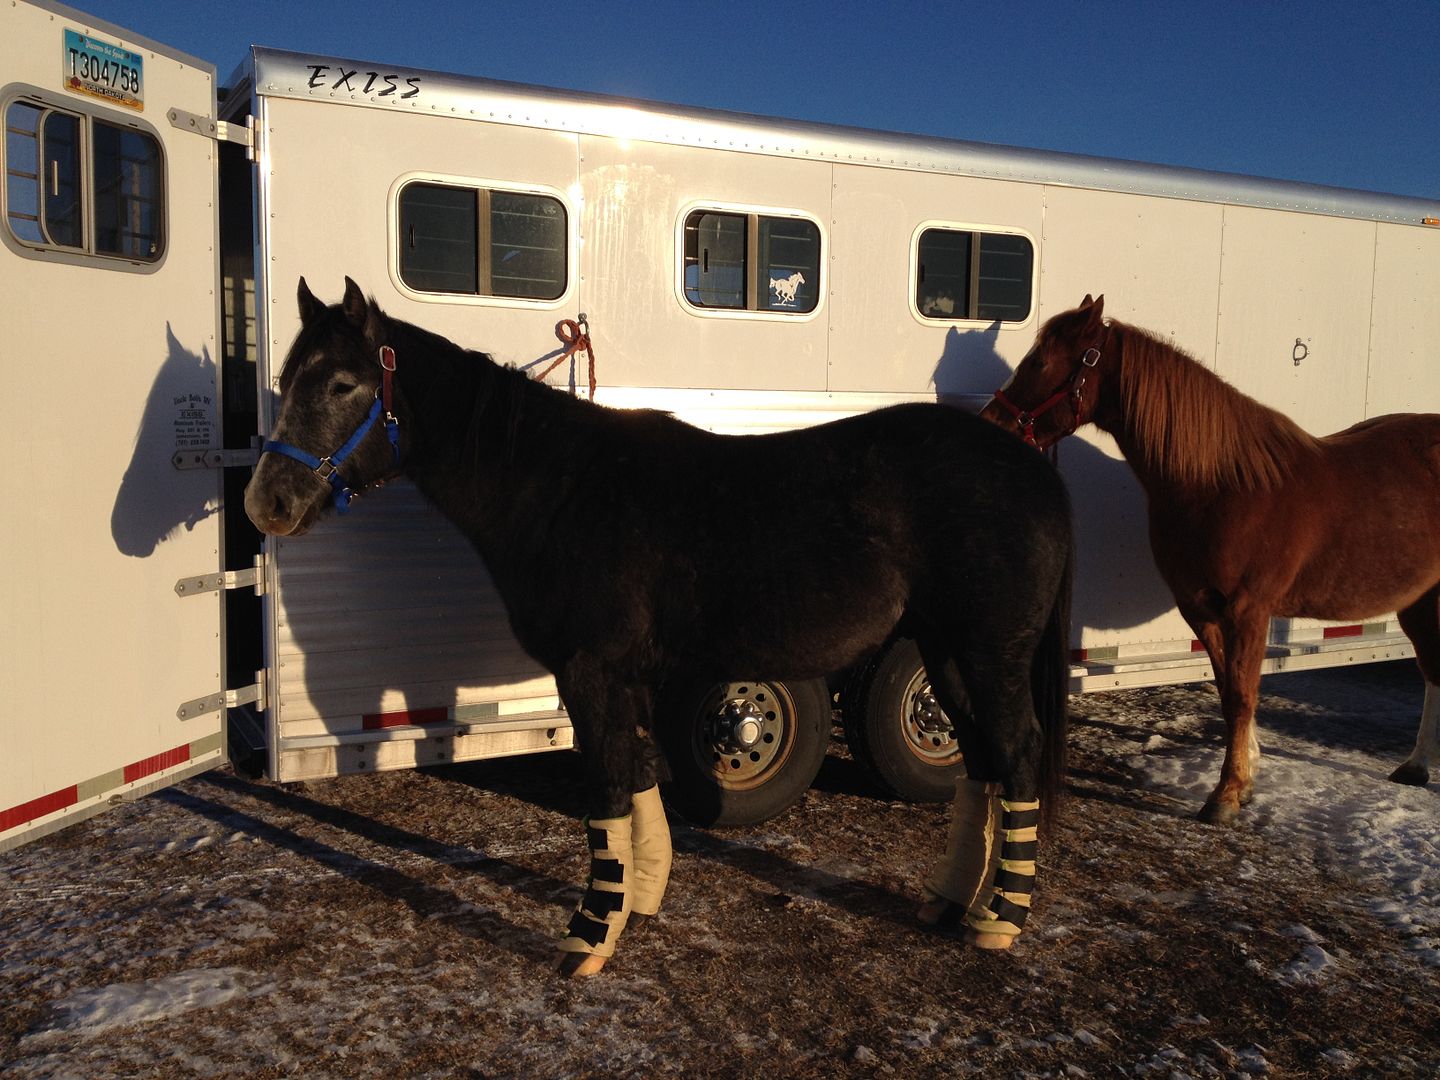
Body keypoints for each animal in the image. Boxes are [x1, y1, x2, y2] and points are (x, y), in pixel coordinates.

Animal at [244, 278, 1075, 974]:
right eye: (288, 378)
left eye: (343, 383)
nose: (268, 503)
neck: (562, 487)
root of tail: (1031, 468)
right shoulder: (622, 677)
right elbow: (638, 776)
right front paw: (636, 904)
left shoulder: (589, 670)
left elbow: (608, 788)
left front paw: (589, 937)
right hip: (946, 648)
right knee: (984, 761)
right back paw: (951, 902)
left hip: (987, 651)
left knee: (1017, 754)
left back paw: (999, 920)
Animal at [982, 294, 1440, 824]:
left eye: (1038, 361)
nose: (992, 424)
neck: (1225, 484)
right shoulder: (1201, 608)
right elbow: (1228, 693)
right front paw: (1244, 780)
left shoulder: (1248, 612)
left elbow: (1242, 696)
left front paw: (1226, 794)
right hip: (1420, 601)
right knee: (1432, 672)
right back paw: (1415, 766)